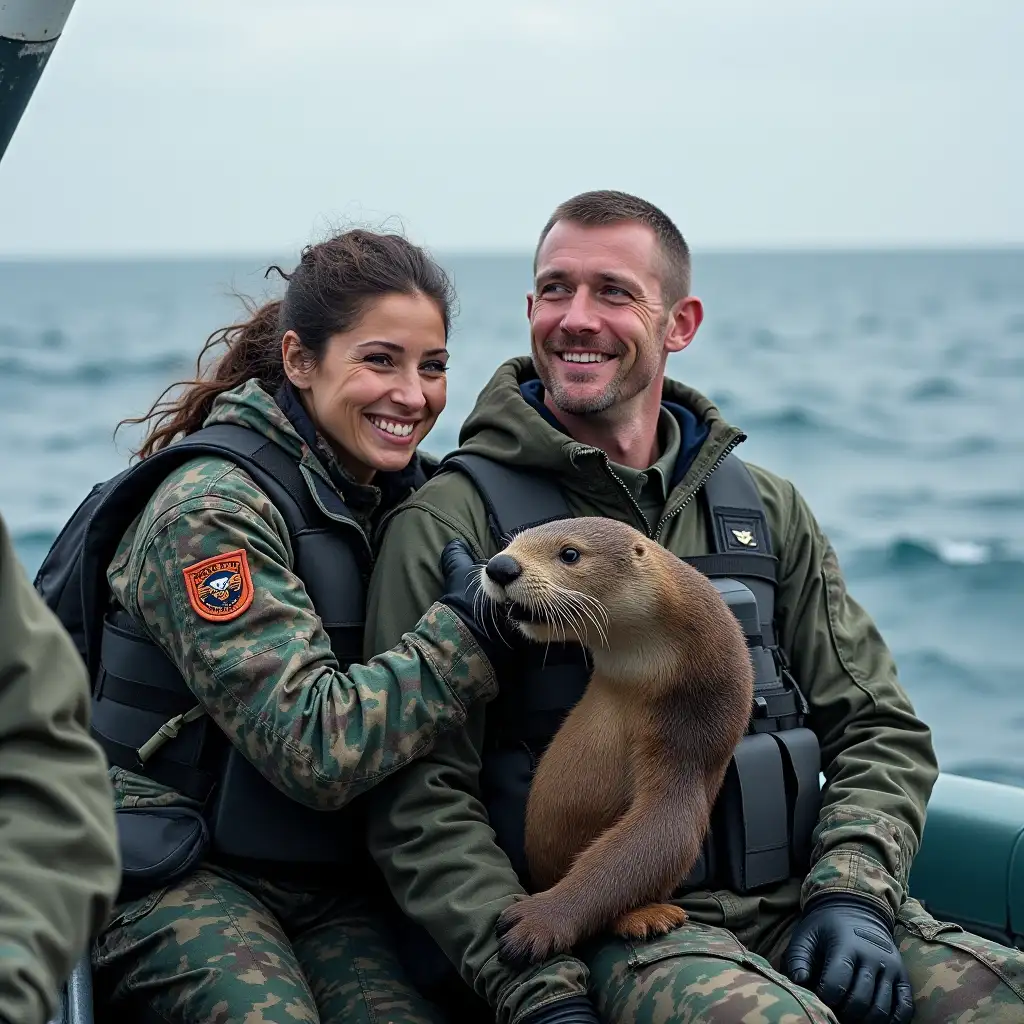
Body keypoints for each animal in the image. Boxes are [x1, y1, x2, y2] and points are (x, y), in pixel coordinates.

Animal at [477, 520, 753, 966]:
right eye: (511, 542)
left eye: (570, 554)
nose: (502, 566)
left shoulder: (691, 730)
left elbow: (663, 832)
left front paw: (541, 920)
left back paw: (648, 918)